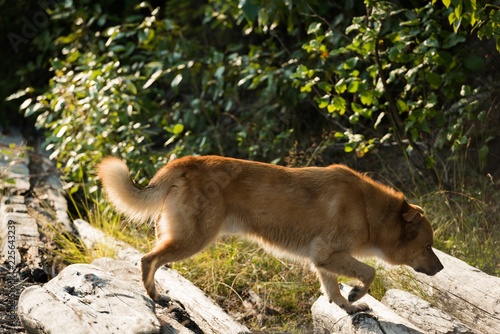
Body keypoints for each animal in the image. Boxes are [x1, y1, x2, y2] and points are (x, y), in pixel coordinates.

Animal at [96, 155, 442, 314]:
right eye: (428, 245)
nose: (440, 269)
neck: (372, 212)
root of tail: (186, 162)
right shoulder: (330, 254)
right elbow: (368, 272)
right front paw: (356, 295)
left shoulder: (323, 260)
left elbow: (332, 290)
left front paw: (348, 306)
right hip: (192, 240)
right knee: (147, 260)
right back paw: (156, 297)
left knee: (152, 259)